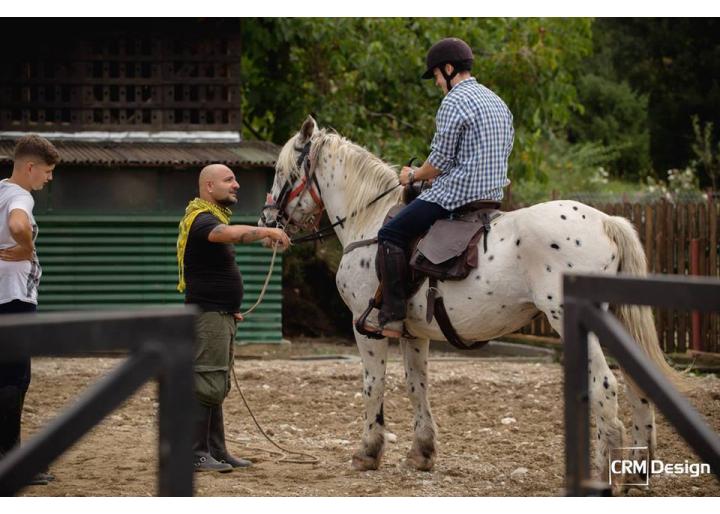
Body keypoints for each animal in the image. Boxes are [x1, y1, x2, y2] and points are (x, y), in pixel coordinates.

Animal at [258, 114, 680, 486]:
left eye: (281, 172)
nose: (266, 221)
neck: (371, 221)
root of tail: (607, 222)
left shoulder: (367, 329)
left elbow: (373, 385)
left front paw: (368, 452)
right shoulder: (413, 334)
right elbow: (417, 385)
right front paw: (421, 452)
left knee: (606, 387)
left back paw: (608, 471)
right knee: (638, 388)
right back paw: (637, 472)